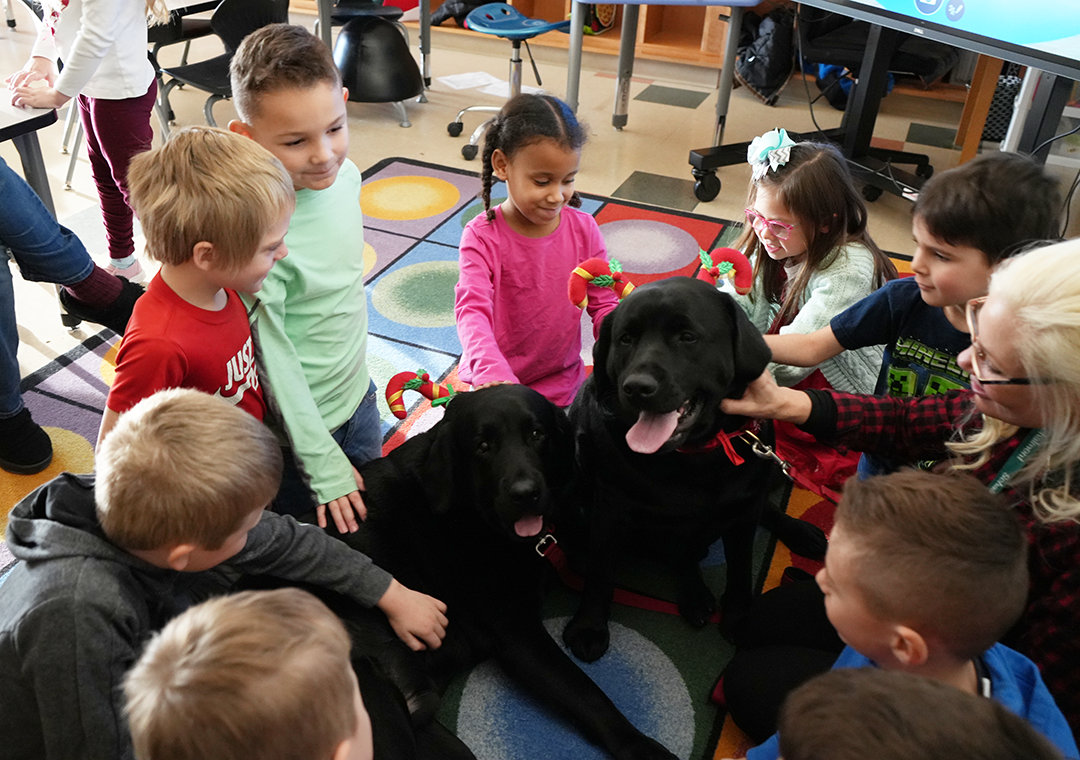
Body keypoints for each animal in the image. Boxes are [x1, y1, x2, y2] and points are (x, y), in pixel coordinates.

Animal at [324, 386, 673, 760]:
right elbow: (588, 694)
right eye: (483, 446)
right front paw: (642, 746)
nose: (525, 494)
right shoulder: (516, 633)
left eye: (537, 434)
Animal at [565, 276, 777, 660]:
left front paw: (739, 616)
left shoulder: (746, 512)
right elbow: (601, 572)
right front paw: (589, 625)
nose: (637, 387)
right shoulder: (608, 509)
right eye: (626, 338)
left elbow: (741, 569)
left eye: (687, 336)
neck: (693, 458)